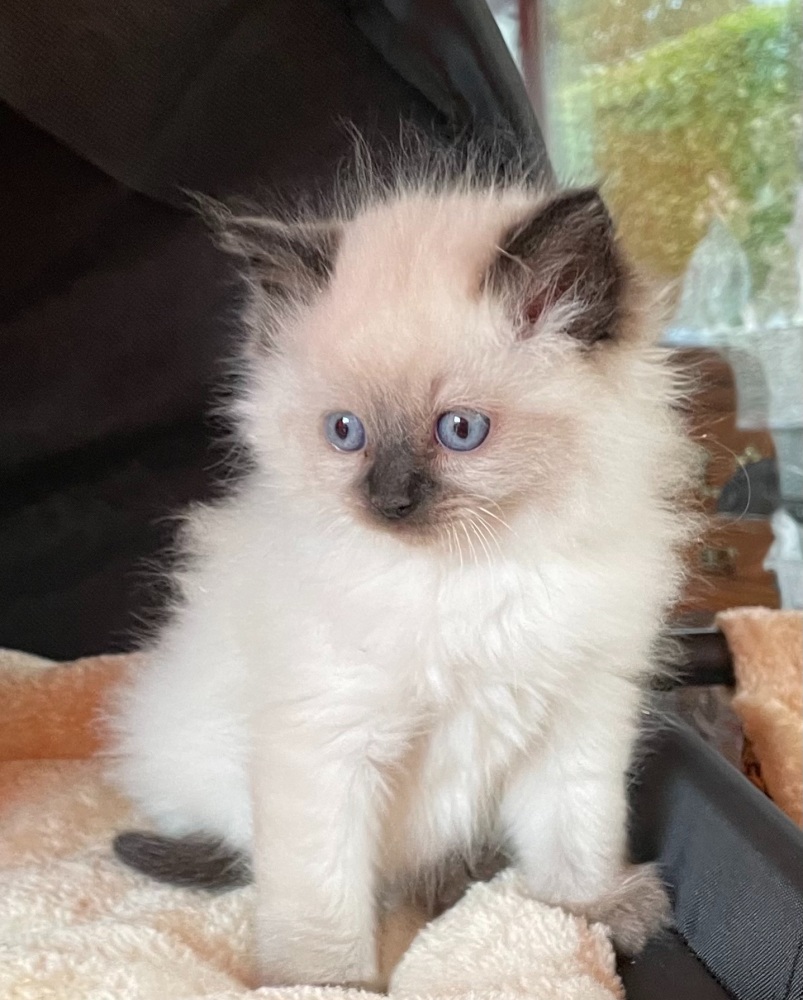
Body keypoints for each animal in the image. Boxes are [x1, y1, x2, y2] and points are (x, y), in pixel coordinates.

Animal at [110, 150, 696, 992]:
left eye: (459, 431)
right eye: (344, 432)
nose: (387, 501)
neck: (472, 578)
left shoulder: (578, 715)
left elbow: (575, 833)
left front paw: (591, 907)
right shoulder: (326, 741)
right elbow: (321, 902)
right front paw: (325, 987)